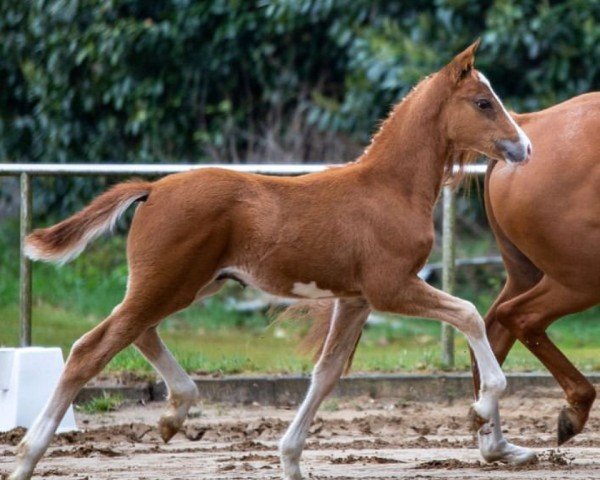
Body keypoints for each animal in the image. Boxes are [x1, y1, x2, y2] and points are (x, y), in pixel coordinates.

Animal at [11, 42, 532, 480]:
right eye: (483, 103)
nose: (525, 147)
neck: (389, 188)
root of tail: (153, 189)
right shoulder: (391, 287)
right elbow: (468, 313)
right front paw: (483, 404)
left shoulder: (355, 299)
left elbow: (326, 372)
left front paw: (291, 460)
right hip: (169, 282)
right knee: (92, 348)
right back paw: (27, 456)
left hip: (189, 284)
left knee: (137, 332)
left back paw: (175, 413)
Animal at [472, 92, 600, 464]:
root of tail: (530, 122)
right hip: (581, 277)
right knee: (518, 317)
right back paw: (575, 409)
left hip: (528, 274)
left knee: (492, 330)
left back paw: (495, 444)